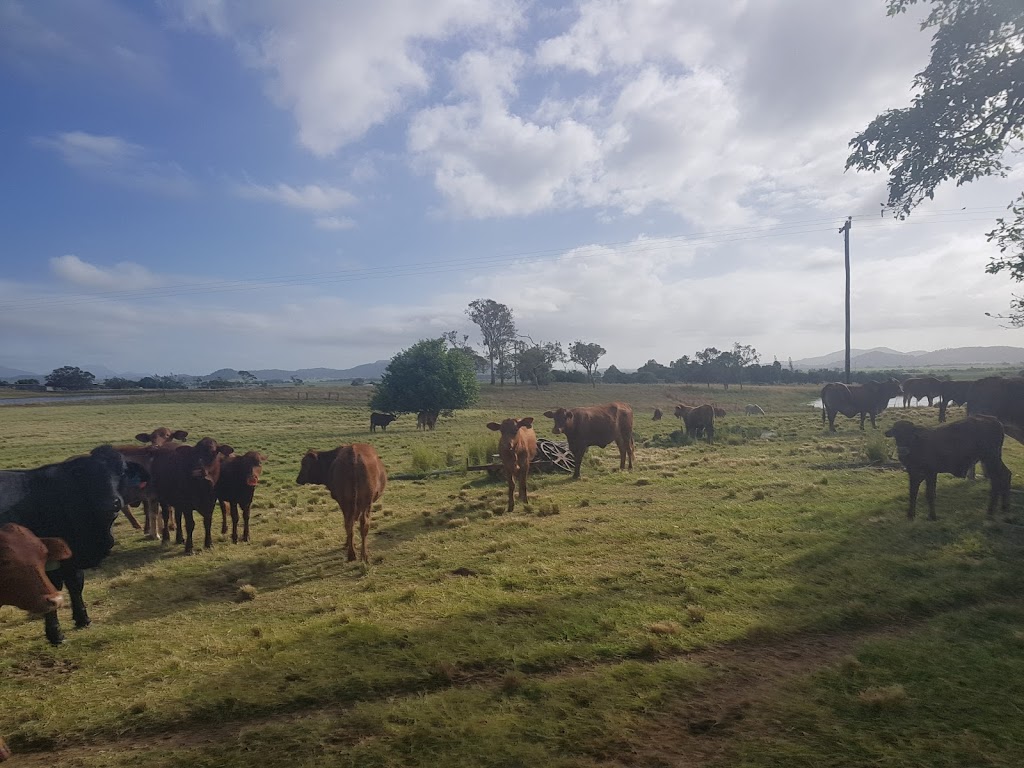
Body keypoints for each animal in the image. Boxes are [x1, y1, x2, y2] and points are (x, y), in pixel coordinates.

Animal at [0, 448, 149, 647]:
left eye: (123, 471)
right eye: (90, 475)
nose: (112, 502)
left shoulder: (73, 560)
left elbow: (76, 585)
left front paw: (82, 619)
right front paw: (56, 634)